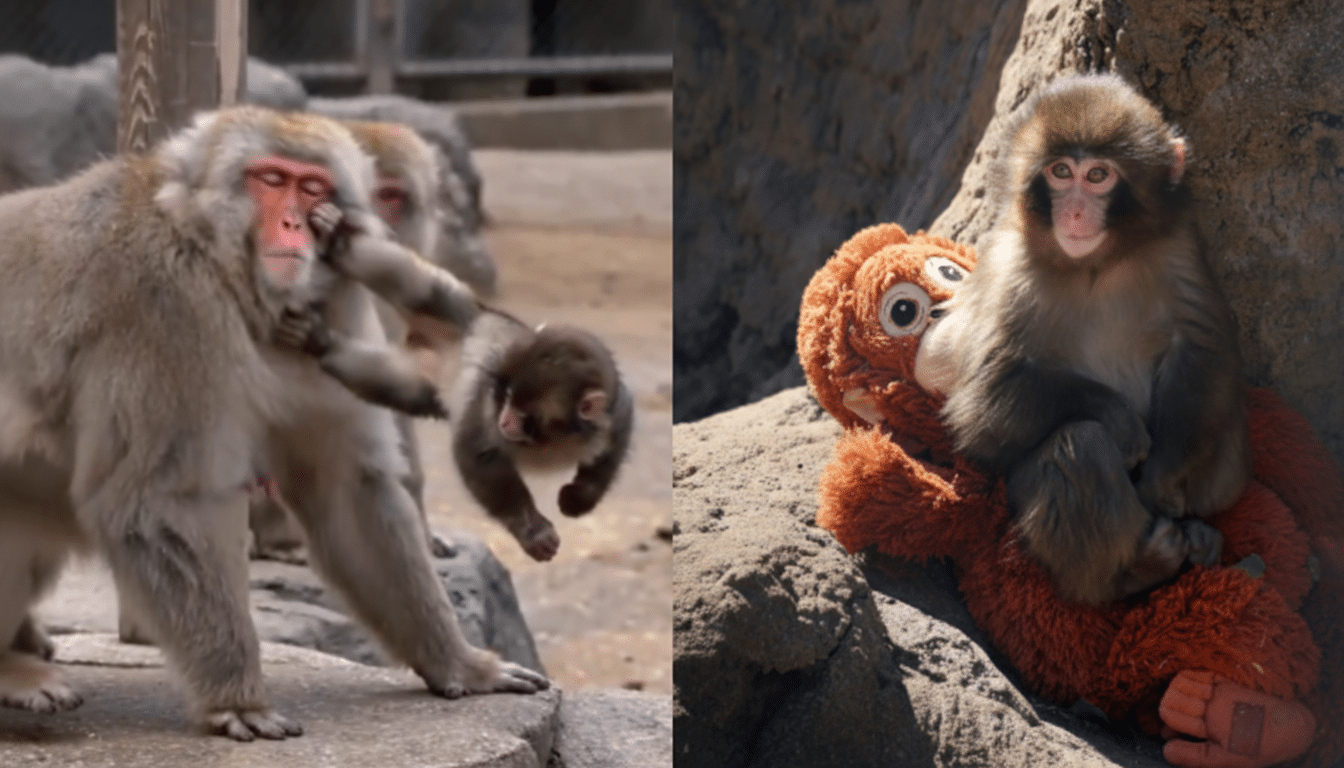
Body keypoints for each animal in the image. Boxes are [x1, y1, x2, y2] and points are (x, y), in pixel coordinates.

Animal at [0, 105, 546, 739]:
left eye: (312, 187)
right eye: (270, 179)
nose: (292, 223)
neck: (222, 265)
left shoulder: (335, 302)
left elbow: (348, 488)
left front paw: (458, 662)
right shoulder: (165, 309)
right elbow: (159, 502)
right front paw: (237, 697)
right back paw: (12, 671)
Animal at [450, 308, 634, 562]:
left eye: (525, 414)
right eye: (508, 396)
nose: (504, 421)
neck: (552, 437)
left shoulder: (611, 415)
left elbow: (617, 437)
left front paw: (579, 497)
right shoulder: (487, 409)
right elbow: (478, 453)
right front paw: (534, 533)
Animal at [914, 73, 1249, 606]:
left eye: (1096, 176)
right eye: (1059, 171)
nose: (1072, 212)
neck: (1098, 263)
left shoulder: (1177, 247)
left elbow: (1201, 351)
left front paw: (1162, 477)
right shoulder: (1011, 266)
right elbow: (985, 403)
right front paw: (1120, 420)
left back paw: (1200, 534)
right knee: (1081, 444)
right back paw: (1136, 570)